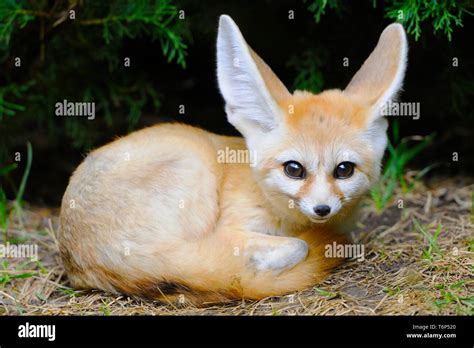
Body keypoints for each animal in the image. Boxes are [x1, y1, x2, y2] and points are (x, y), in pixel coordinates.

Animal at [58, 14, 408, 304]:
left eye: (344, 170)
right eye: (294, 169)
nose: (322, 209)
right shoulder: (230, 229)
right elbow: (300, 245)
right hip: (194, 170)